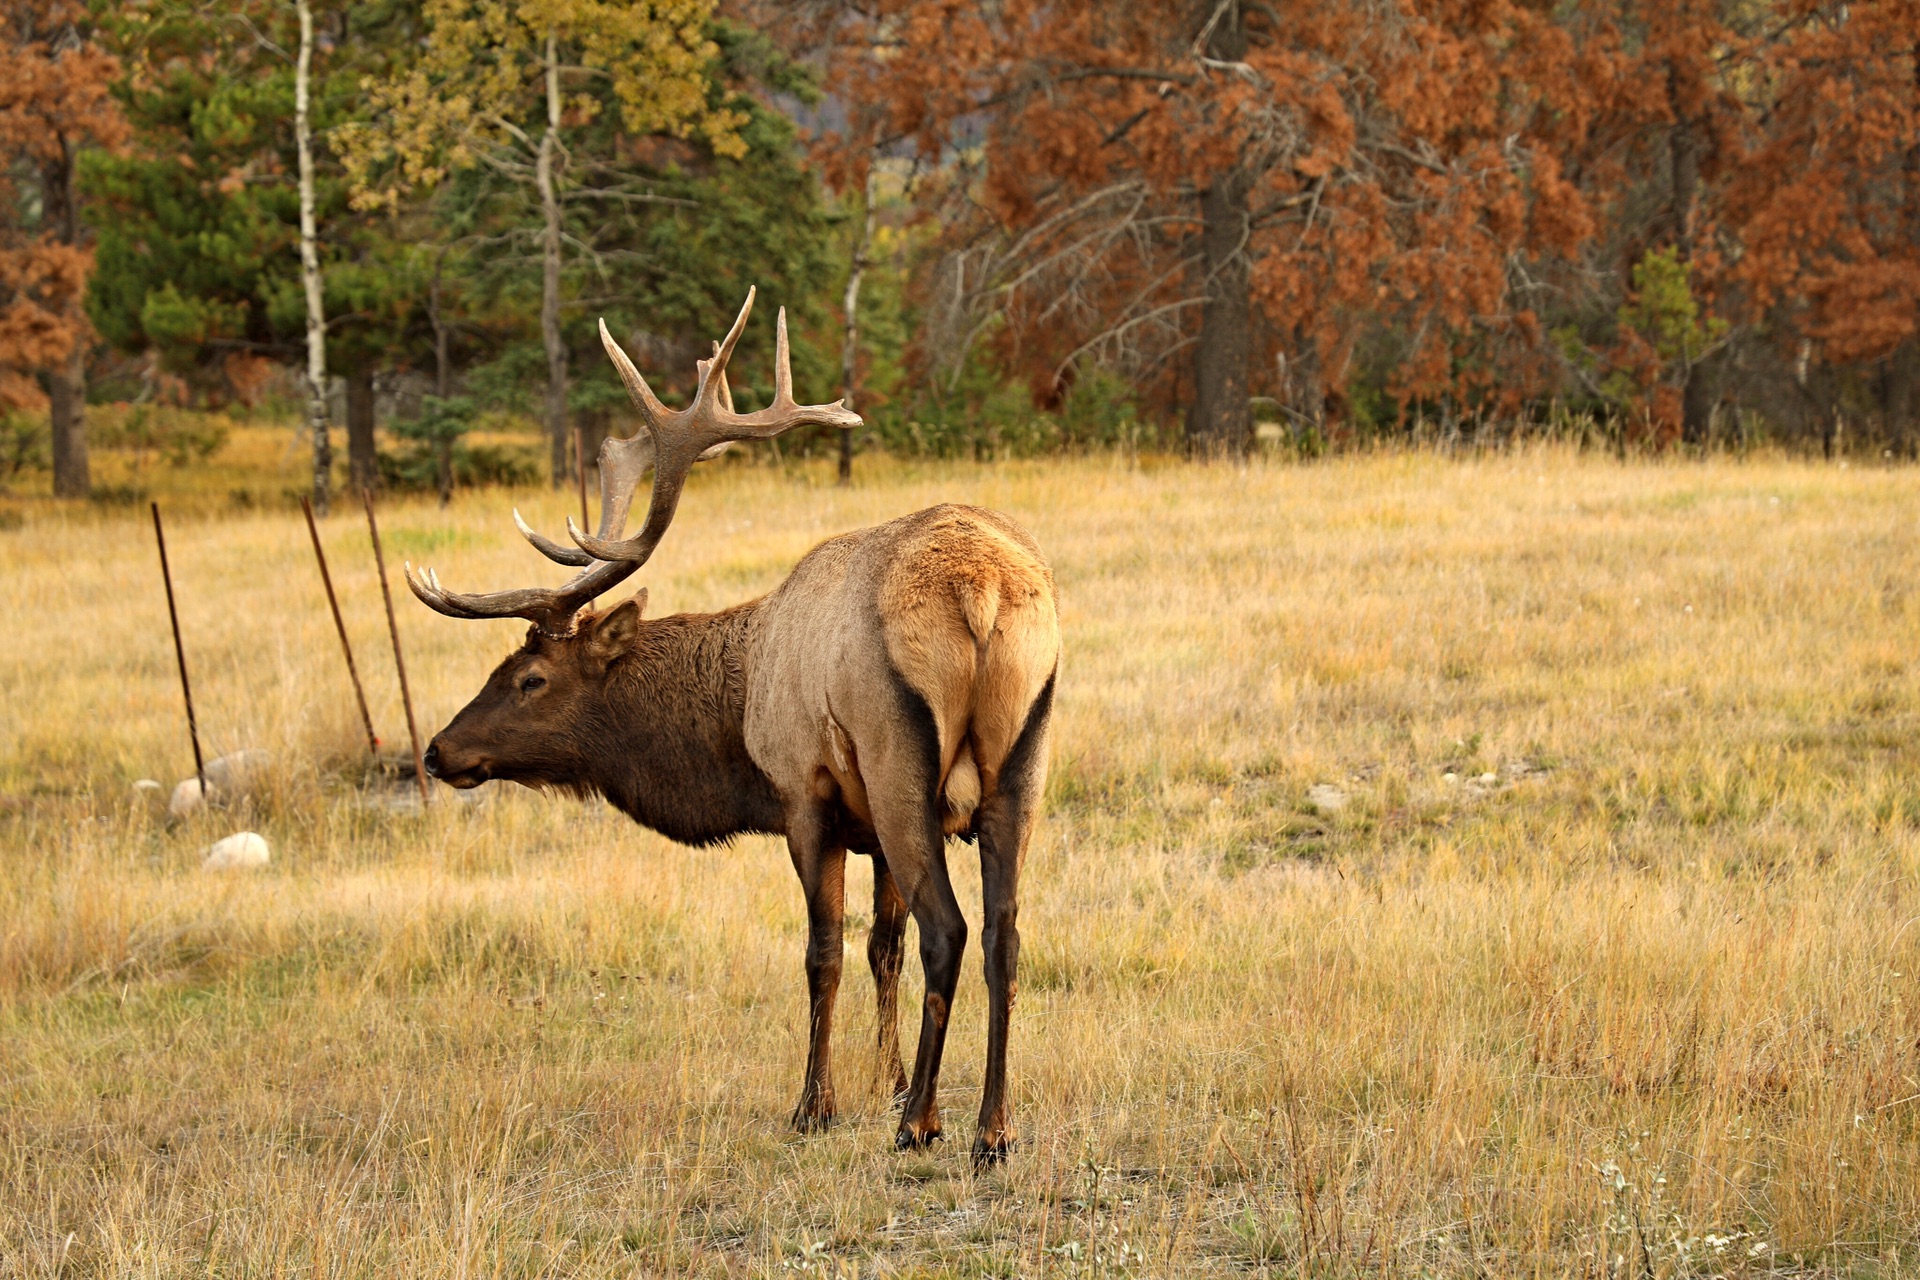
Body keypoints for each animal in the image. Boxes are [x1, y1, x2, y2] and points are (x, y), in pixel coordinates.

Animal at [410, 287, 1059, 1159]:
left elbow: (825, 952)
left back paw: (924, 1124)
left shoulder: (807, 797)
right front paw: (887, 1083)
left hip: (899, 761)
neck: (736, 718)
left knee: (949, 931)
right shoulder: (868, 829)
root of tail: (982, 593)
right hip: (1025, 759)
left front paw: (819, 1104)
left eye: (529, 678)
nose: (439, 751)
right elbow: (880, 949)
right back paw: (992, 1126)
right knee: (1004, 934)